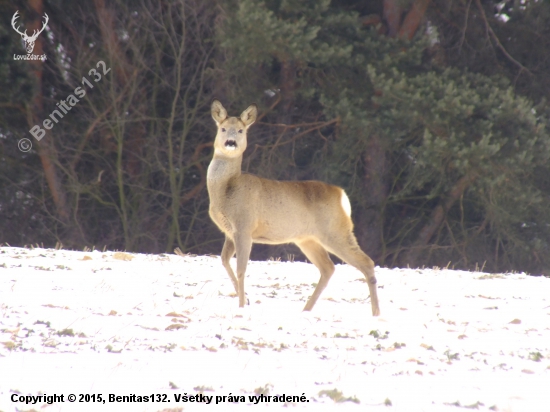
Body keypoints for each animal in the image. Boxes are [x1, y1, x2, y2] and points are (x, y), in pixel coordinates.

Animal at [207, 99, 380, 316]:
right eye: (222, 128)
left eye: (240, 130)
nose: (231, 143)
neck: (226, 189)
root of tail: (342, 196)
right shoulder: (230, 231)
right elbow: (224, 261)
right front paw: (245, 299)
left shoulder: (244, 226)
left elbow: (241, 269)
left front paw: (241, 306)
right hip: (307, 239)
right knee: (328, 268)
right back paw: (306, 309)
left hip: (335, 231)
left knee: (366, 263)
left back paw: (376, 312)